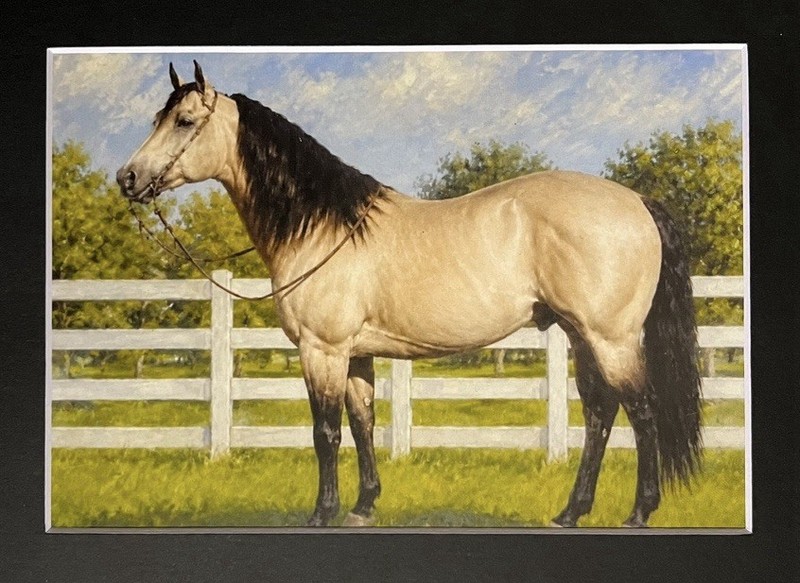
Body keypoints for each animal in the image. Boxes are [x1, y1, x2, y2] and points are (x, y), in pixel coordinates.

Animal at [117, 61, 702, 528]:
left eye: (184, 121)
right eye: (157, 120)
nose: (128, 177)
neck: (324, 227)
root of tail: (637, 201)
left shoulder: (322, 349)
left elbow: (325, 431)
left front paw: (322, 512)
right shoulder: (355, 354)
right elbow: (362, 424)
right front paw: (363, 505)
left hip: (611, 338)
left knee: (641, 411)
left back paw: (639, 512)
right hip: (582, 336)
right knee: (601, 413)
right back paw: (571, 512)